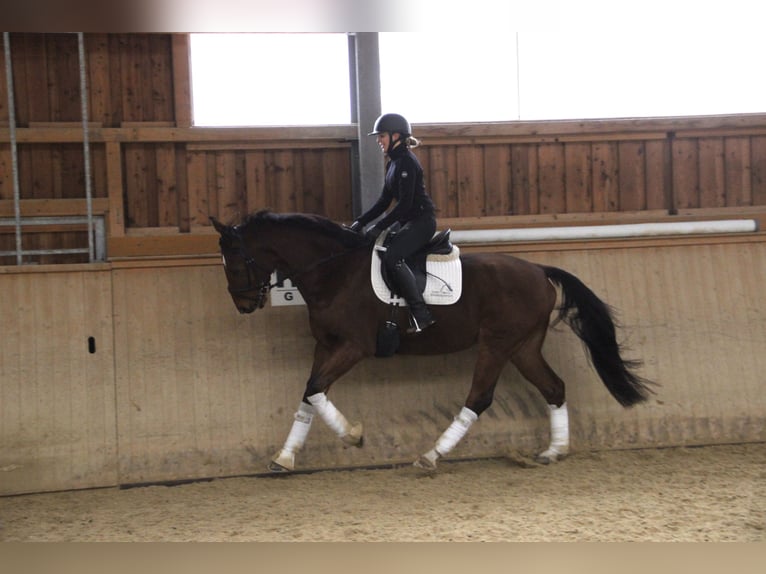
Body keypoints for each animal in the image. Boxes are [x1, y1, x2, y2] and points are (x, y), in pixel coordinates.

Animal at [213, 212, 656, 472]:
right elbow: (309, 393)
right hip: (523, 347)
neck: (333, 271)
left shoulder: (353, 346)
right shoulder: (325, 346)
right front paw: (285, 456)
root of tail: (538, 269)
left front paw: (353, 435)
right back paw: (553, 451)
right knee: (554, 387)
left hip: (497, 345)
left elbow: (317, 388)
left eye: (233, 261)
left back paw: (432, 455)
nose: (243, 305)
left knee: (479, 397)